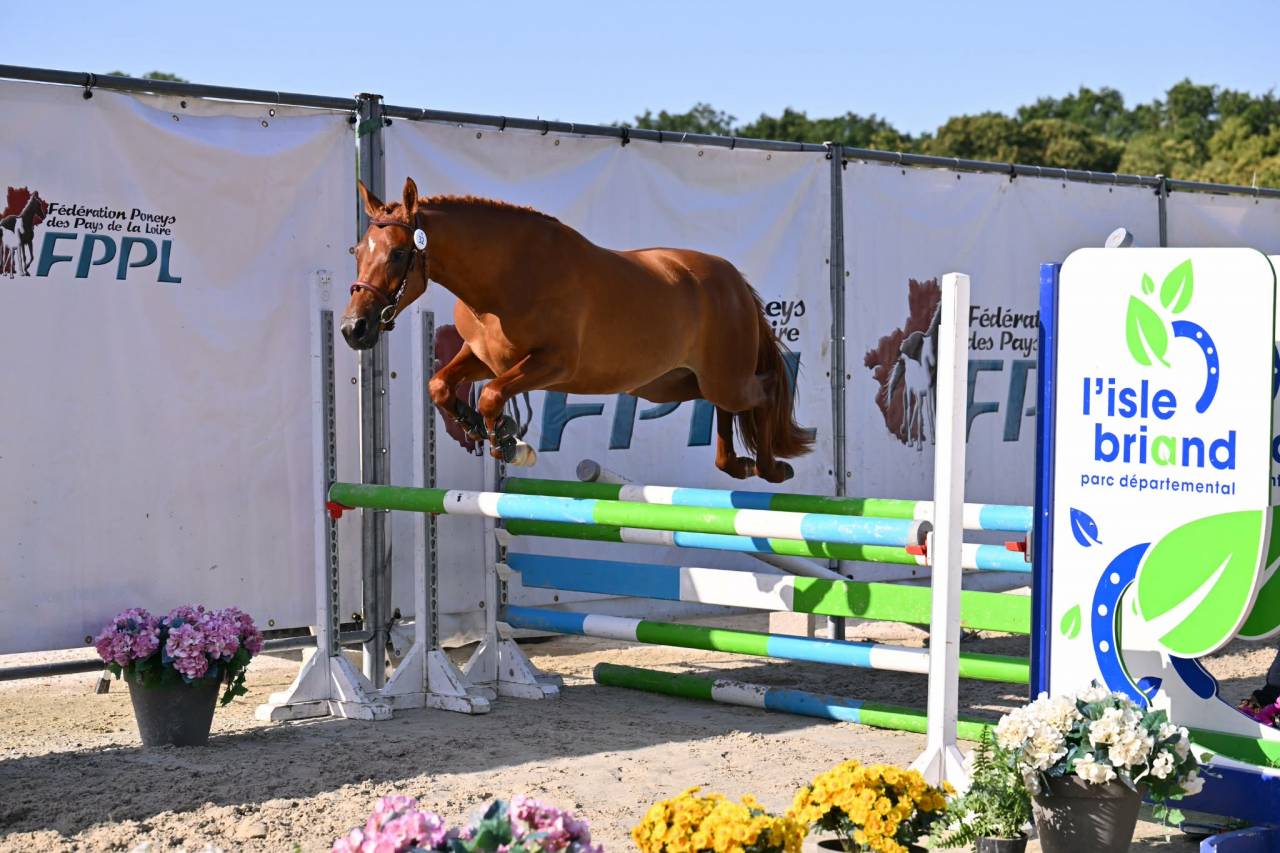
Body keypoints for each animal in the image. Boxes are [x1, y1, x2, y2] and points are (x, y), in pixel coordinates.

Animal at [339, 177, 813, 483]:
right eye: (358, 251)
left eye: (398, 254)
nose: (353, 329)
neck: (504, 279)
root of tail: (732, 279)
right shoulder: (484, 357)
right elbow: (440, 385)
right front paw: (478, 425)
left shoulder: (552, 365)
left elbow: (492, 394)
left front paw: (506, 441)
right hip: (672, 383)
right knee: (723, 407)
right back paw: (736, 464)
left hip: (723, 376)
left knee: (764, 391)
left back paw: (770, 468)